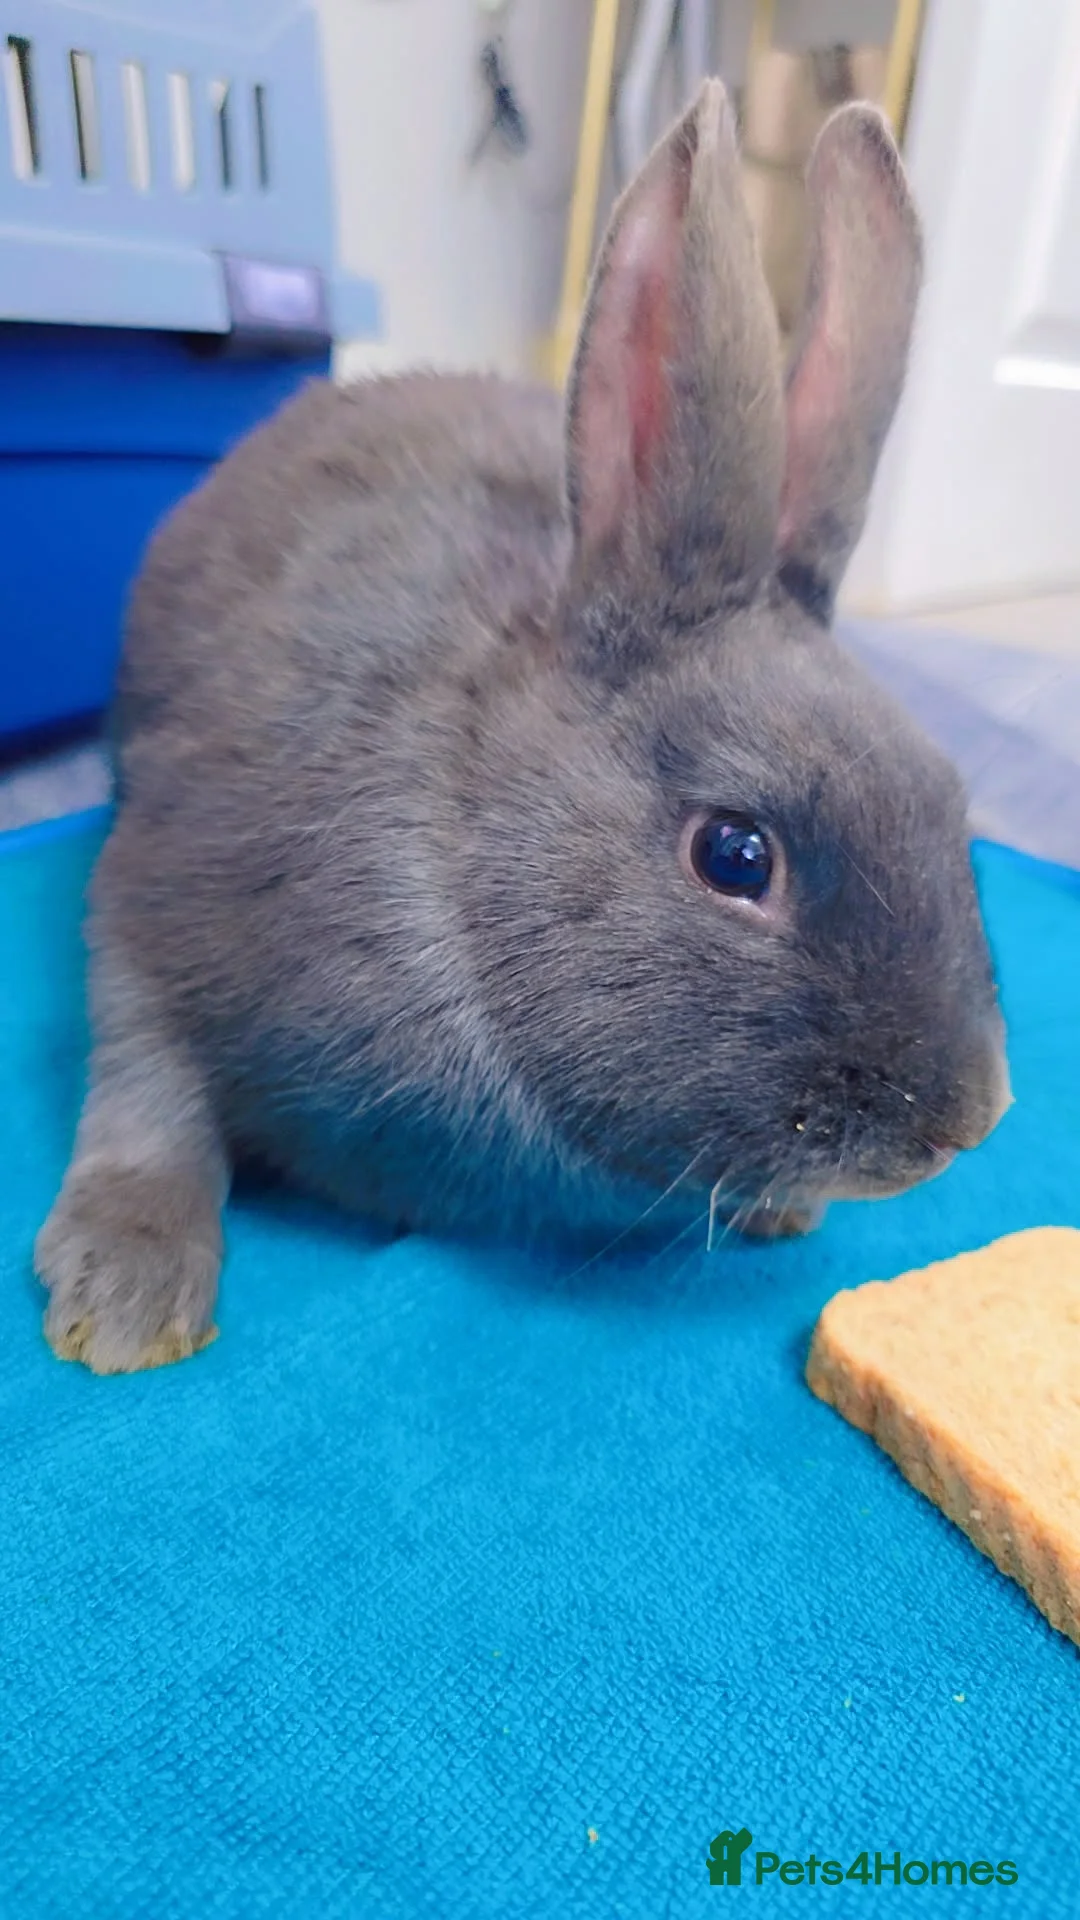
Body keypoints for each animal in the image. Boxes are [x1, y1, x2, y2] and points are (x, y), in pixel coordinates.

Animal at [35, 81, 1010, 1374]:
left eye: (953, 806)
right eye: (736, 854)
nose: (968, 1121)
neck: (461, 845)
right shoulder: (159, 896)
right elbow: (148, 1085)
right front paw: (125, 1300)